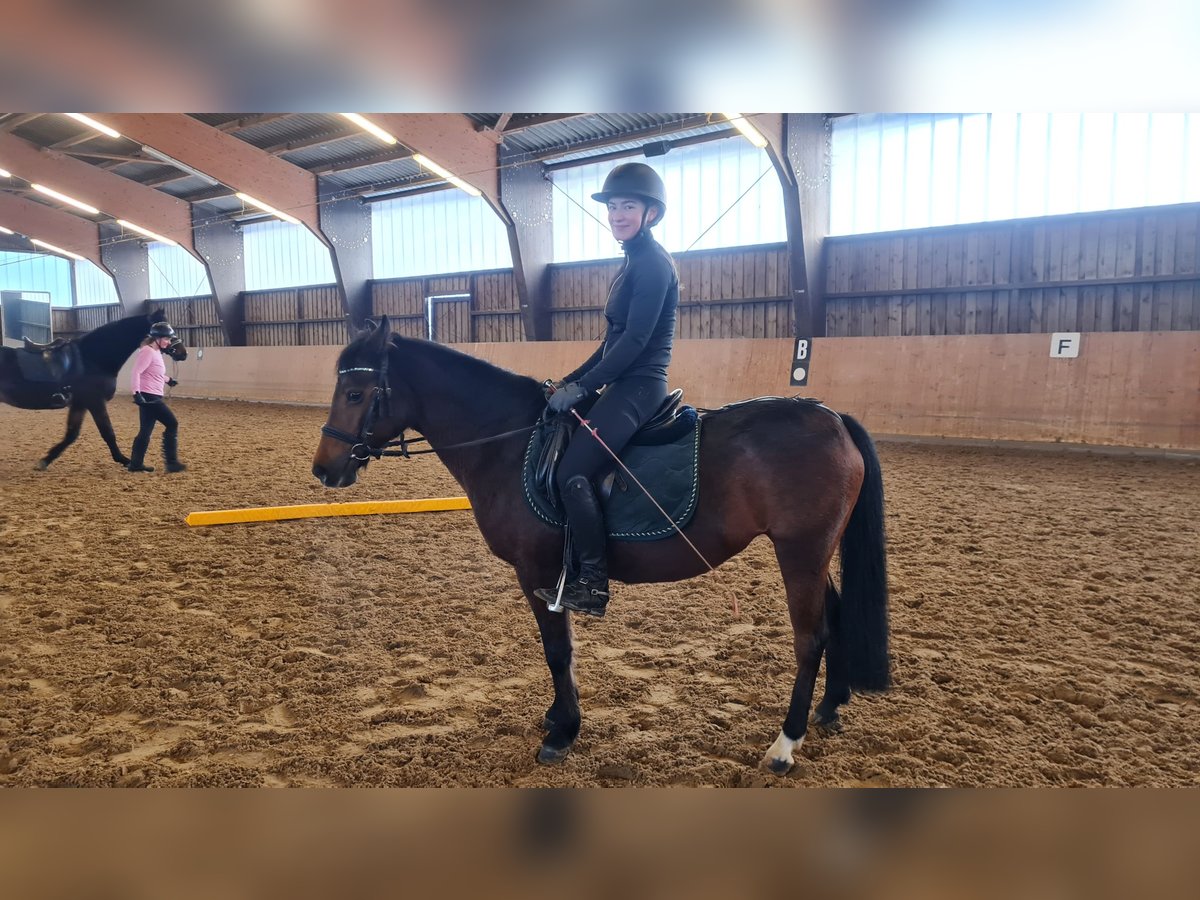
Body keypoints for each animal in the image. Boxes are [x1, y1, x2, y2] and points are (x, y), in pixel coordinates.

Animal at [0, 309, 186, 468]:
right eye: (165, 330)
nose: (183, 353)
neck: (93, 358)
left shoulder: (80, 403)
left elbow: (71, 434)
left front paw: (47, 459)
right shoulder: (95, 401)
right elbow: (108, 432)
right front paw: (123, 459)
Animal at [314, 319, 888, 777]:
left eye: (356, 394)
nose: (325, 469)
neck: (508, 441)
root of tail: (832, 418)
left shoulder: (537, 572)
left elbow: (557, 650)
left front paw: (562, 732)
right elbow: (562, 650)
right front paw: (557, 718)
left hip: (800, 552)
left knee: (810, 638)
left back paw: (785, 745)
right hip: (815, 553)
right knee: (835, 618)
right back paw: (830, 709)